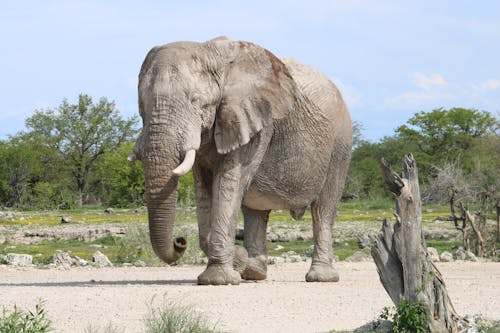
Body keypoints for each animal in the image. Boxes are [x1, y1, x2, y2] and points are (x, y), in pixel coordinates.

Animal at [131, 37, 354, 286]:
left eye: (195, 101)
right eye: (141, 106)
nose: (180, 242)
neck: (212, 54)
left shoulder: (256, 123)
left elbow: (228, 184)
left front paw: (219, 279)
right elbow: (205, 190)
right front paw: (238, 263)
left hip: (340, 144)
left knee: (323, 209)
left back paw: (320, 277)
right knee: (256, 212)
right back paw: (255, 272)